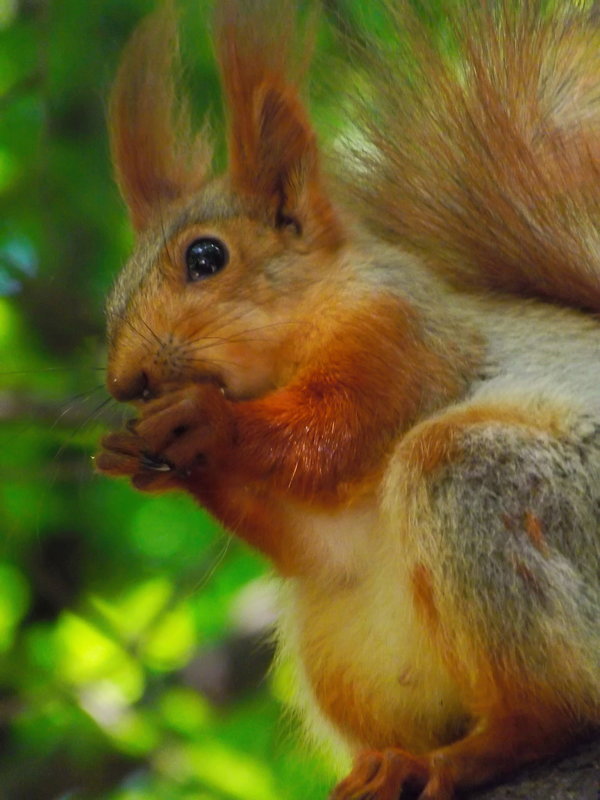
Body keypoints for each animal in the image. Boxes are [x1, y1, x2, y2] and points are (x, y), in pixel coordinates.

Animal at [96, 3, 600, 796]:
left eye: (206, 257)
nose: (126, 382)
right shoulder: (324, 540)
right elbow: (311, 533)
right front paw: (136, 450)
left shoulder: (401, 336)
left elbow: (335, 436)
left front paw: (208, 423)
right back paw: (387, 764)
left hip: (500, 491)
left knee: (561, 712)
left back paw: (475, 753)